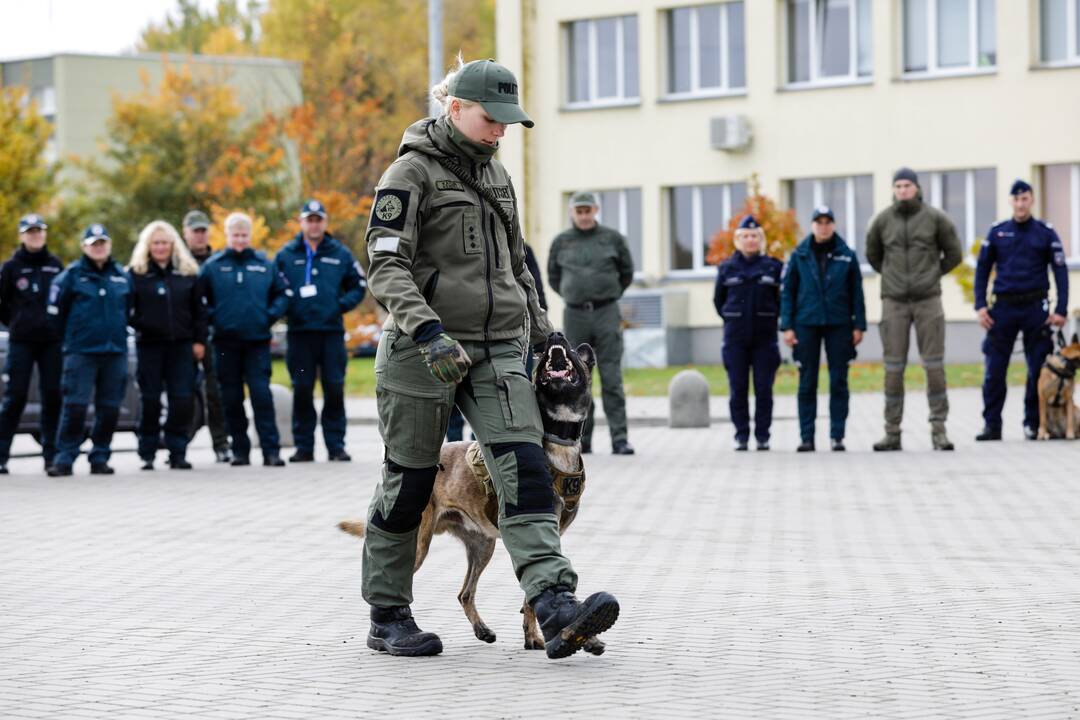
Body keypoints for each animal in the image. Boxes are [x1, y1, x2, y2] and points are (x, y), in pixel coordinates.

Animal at [339, 334, 604, 656]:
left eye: (571, 349)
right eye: (542, 357)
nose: (555, 335)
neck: (557, 439)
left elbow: (531, 592)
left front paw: (541, 635)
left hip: (482, 545)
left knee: (464, 593)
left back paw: (482, 630)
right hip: (420, 543)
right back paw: (390, 628)